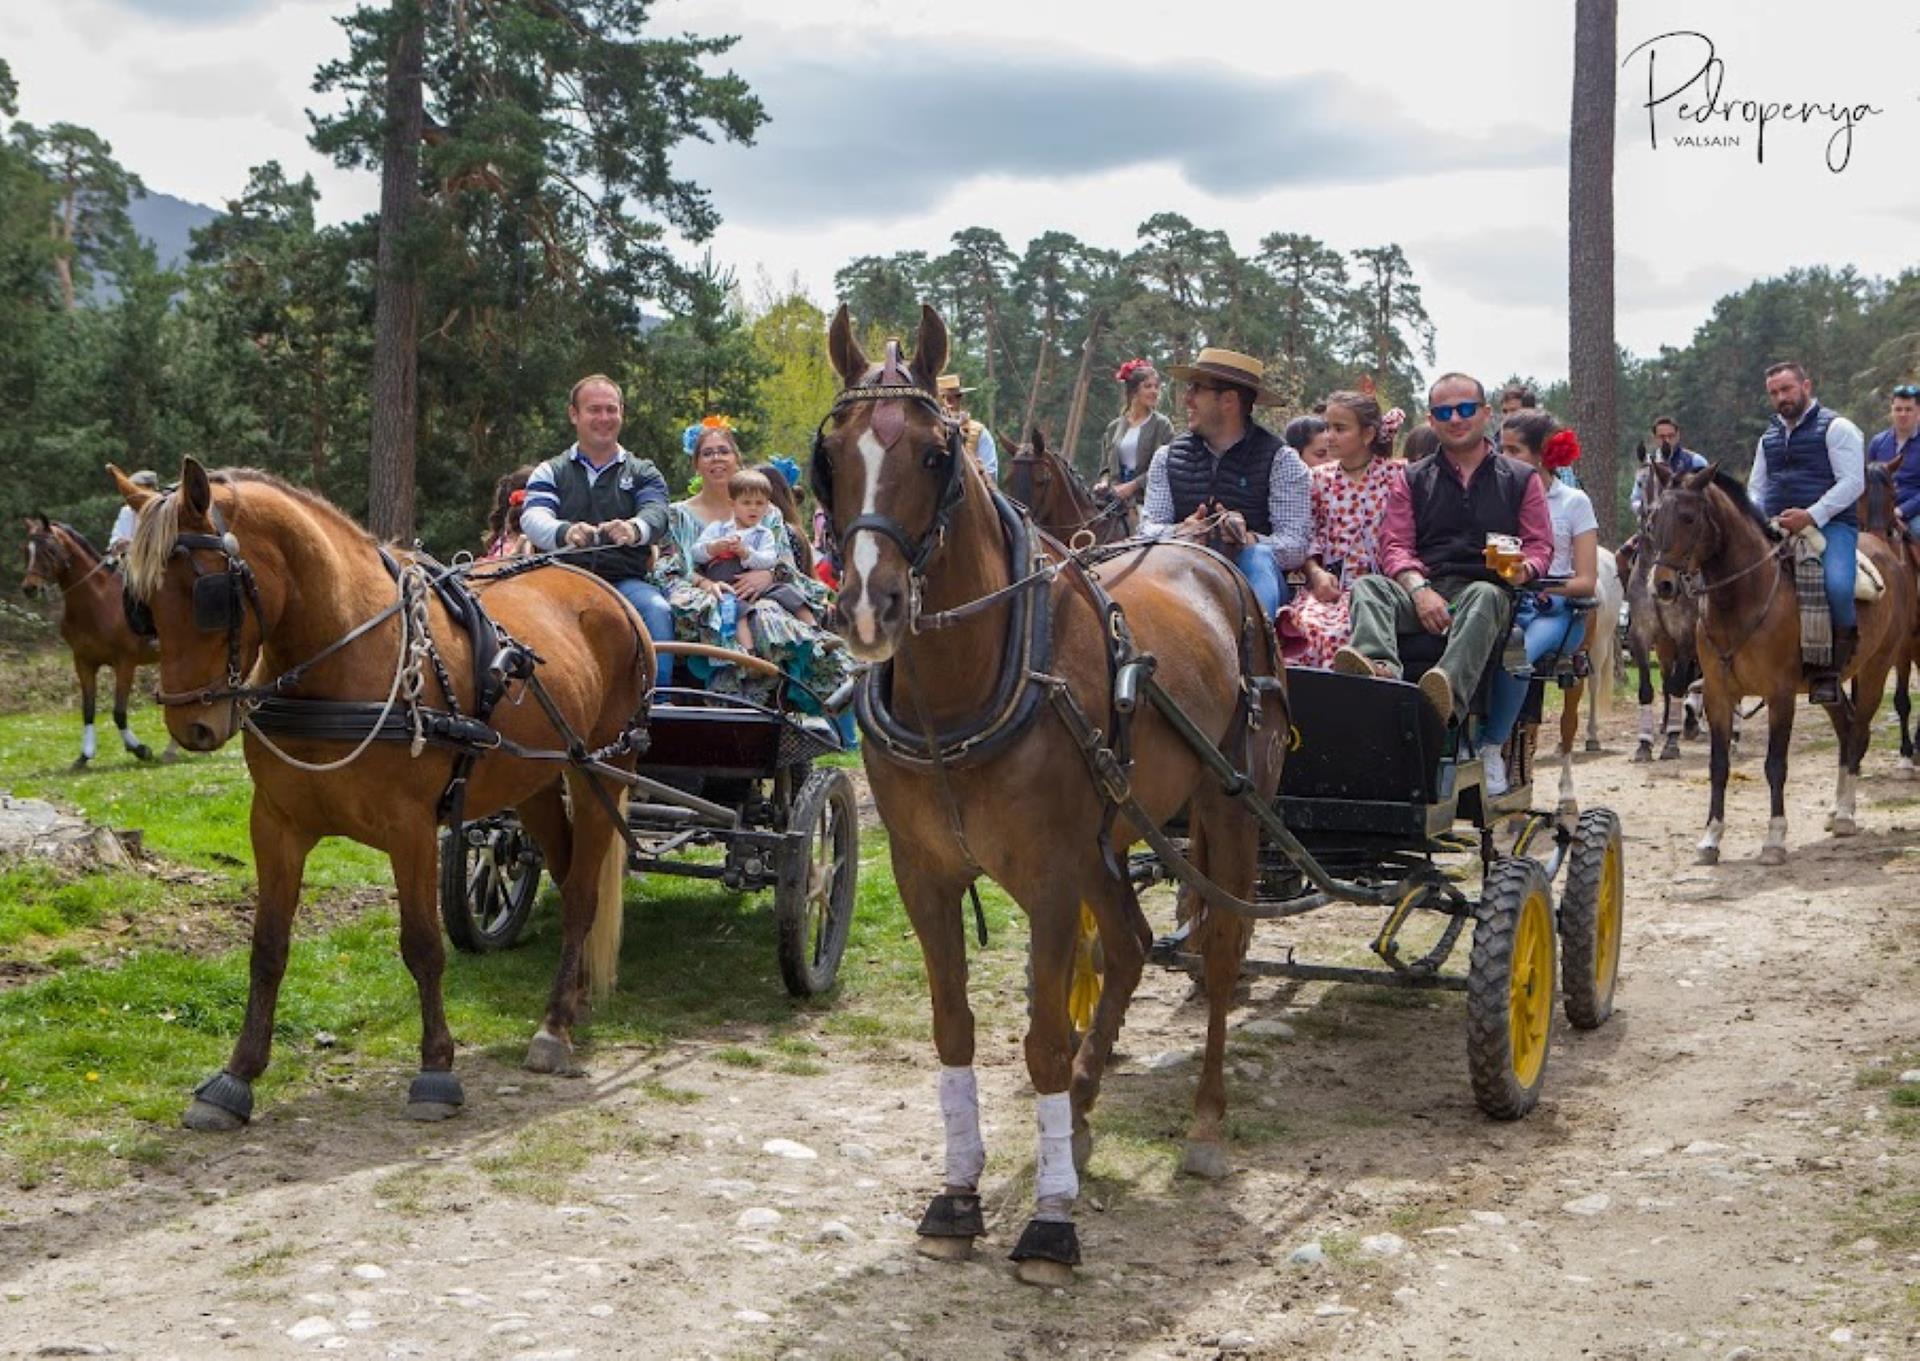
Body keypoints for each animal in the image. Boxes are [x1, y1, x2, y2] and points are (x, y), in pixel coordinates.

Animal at [20, 517, 177, 768]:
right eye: (27, 550)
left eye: (50, 550)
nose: (30, 588)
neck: (97, 602)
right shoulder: (84, 663)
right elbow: (88, 710)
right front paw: (84, 755)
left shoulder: (125, 664)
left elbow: (119, 712)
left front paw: (140, 749)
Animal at [114, 460, 650, 1131]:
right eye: (141, 603)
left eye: (209, 594)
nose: (194, 727)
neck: (340, 656)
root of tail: (607, 591)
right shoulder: (276, 824)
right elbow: (267, 947)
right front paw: (236, 1077)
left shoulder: (410, 828)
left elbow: (422, 945)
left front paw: (436, 1071)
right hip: (533, 781)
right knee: (566, 864)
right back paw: (571, 1000)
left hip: (603, 767)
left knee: (582, 892)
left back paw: (553, 1028)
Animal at [1647, 464, 1911, 864]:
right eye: (1652, 518)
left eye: (1689, 517)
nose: (1661, 585)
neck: (1744, 598)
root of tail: (1886, 551)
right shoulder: (1718, 695)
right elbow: (1719, 765)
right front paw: (1711, 838)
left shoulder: (1780, 695)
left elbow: (1775, 764)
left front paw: (1774, 839)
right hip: (1829, 687)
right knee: (1846, 729)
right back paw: (1836, 809)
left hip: (1876, 670)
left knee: (1858, 733)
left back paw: (1845, 814)